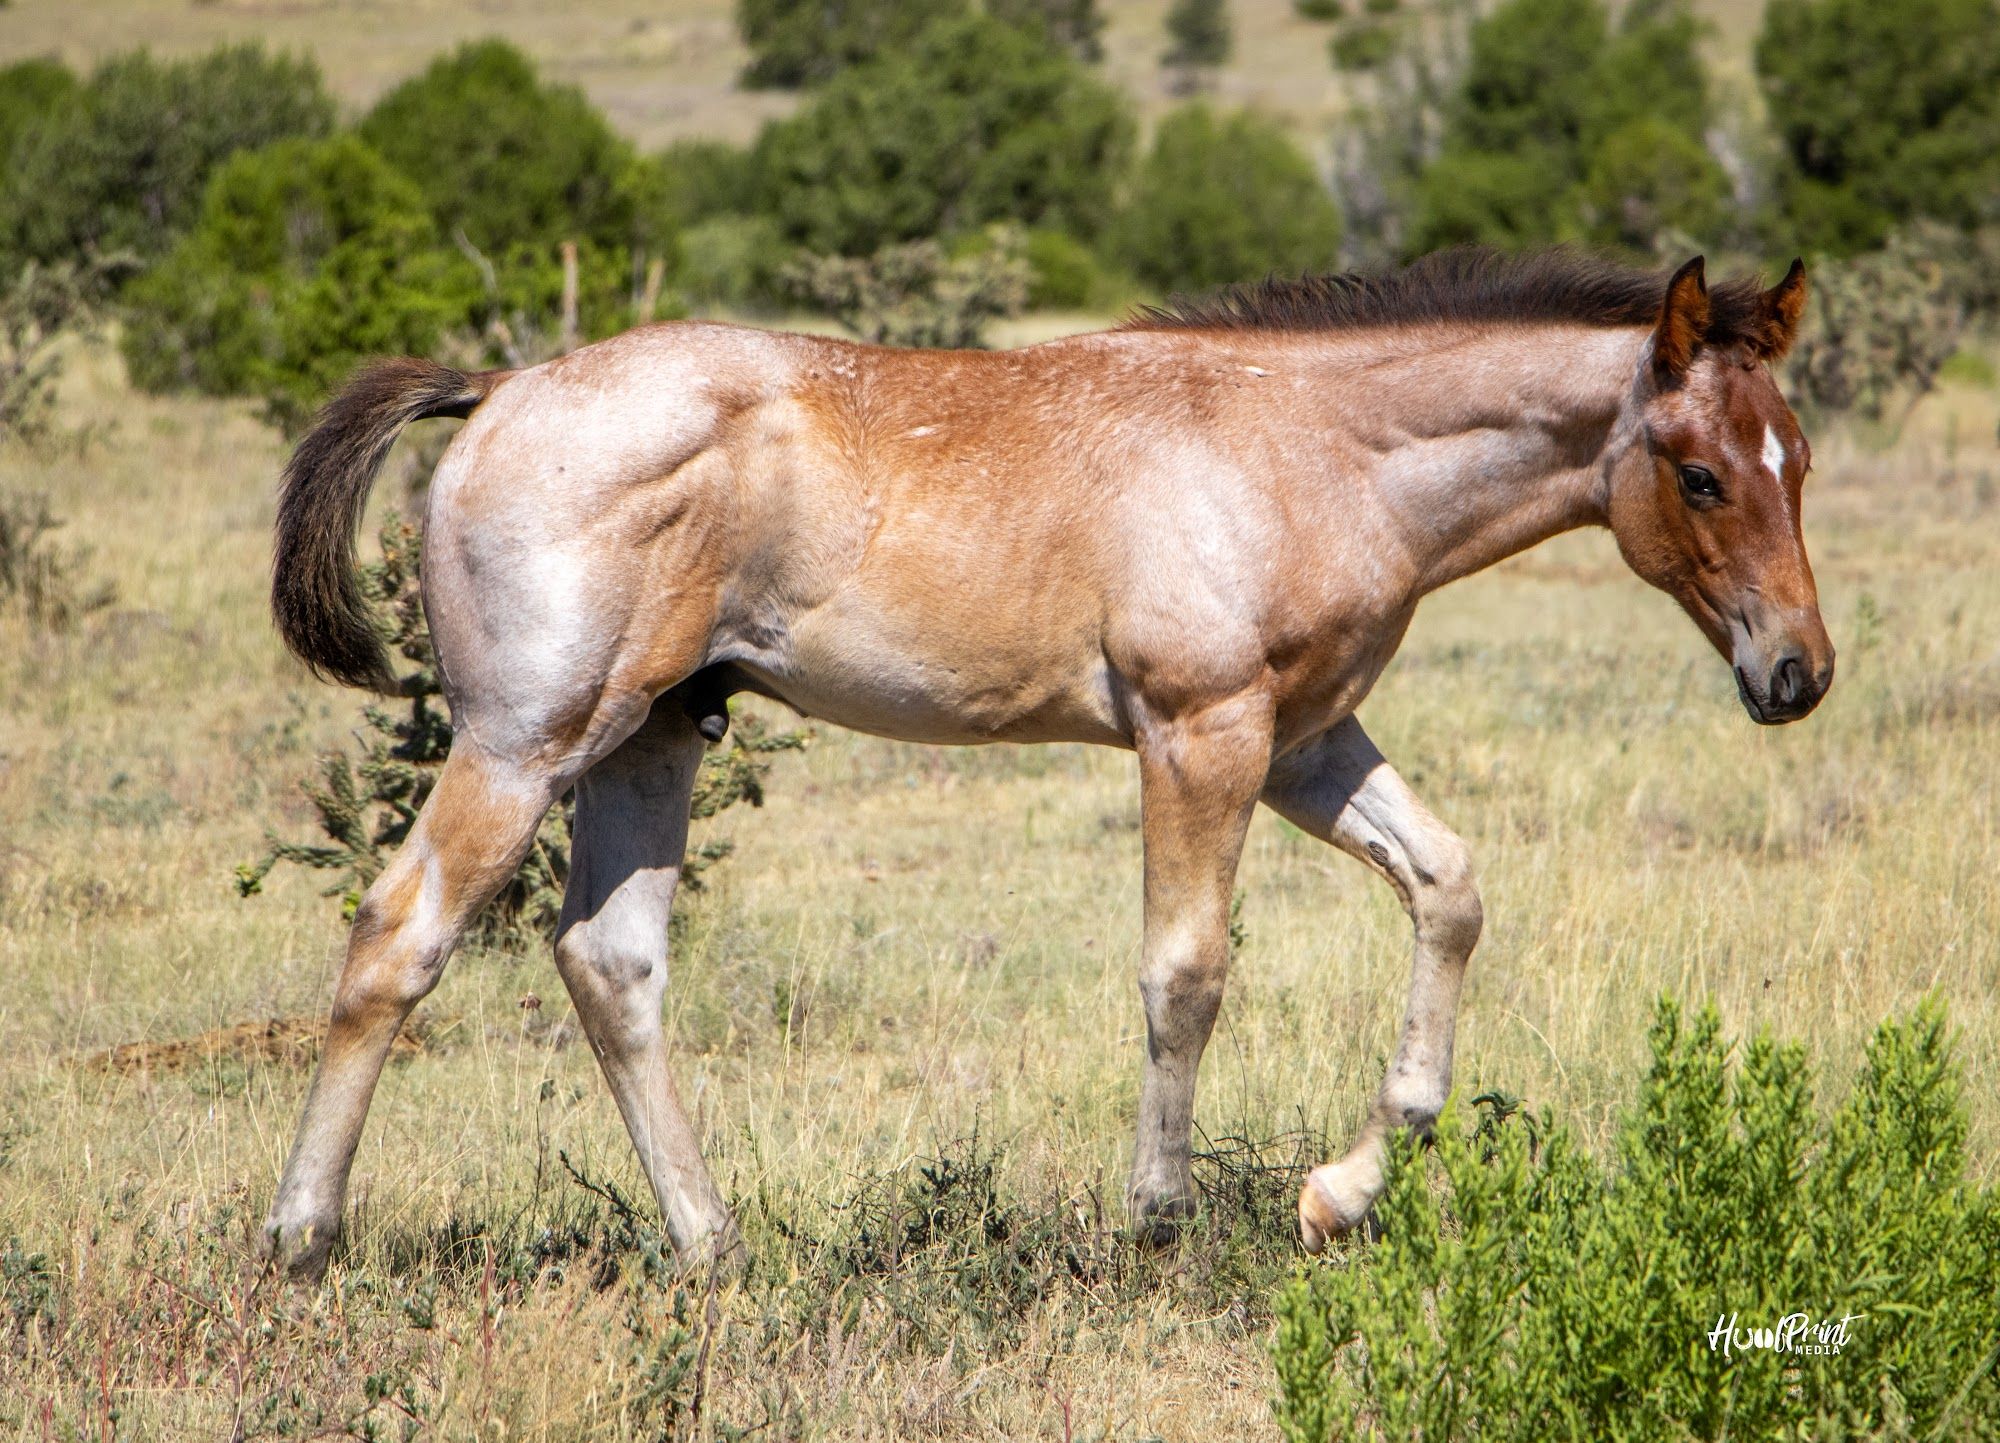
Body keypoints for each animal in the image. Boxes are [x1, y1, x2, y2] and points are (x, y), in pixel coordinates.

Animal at [260, 247, 1831, 1278]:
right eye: (1700, 473)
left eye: (1798, 460)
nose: (1795, 673)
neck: (1311, 445)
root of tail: (497, 388)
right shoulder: (1200, 735)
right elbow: (1186, 971)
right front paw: (1158, 1218)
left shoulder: (1305, 743)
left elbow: (1447, 890)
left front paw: (1338, 1192)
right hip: (528, 742)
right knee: (398, 934)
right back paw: (299, 1235)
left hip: (651, 737)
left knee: (611, 963)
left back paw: (713, 1249)